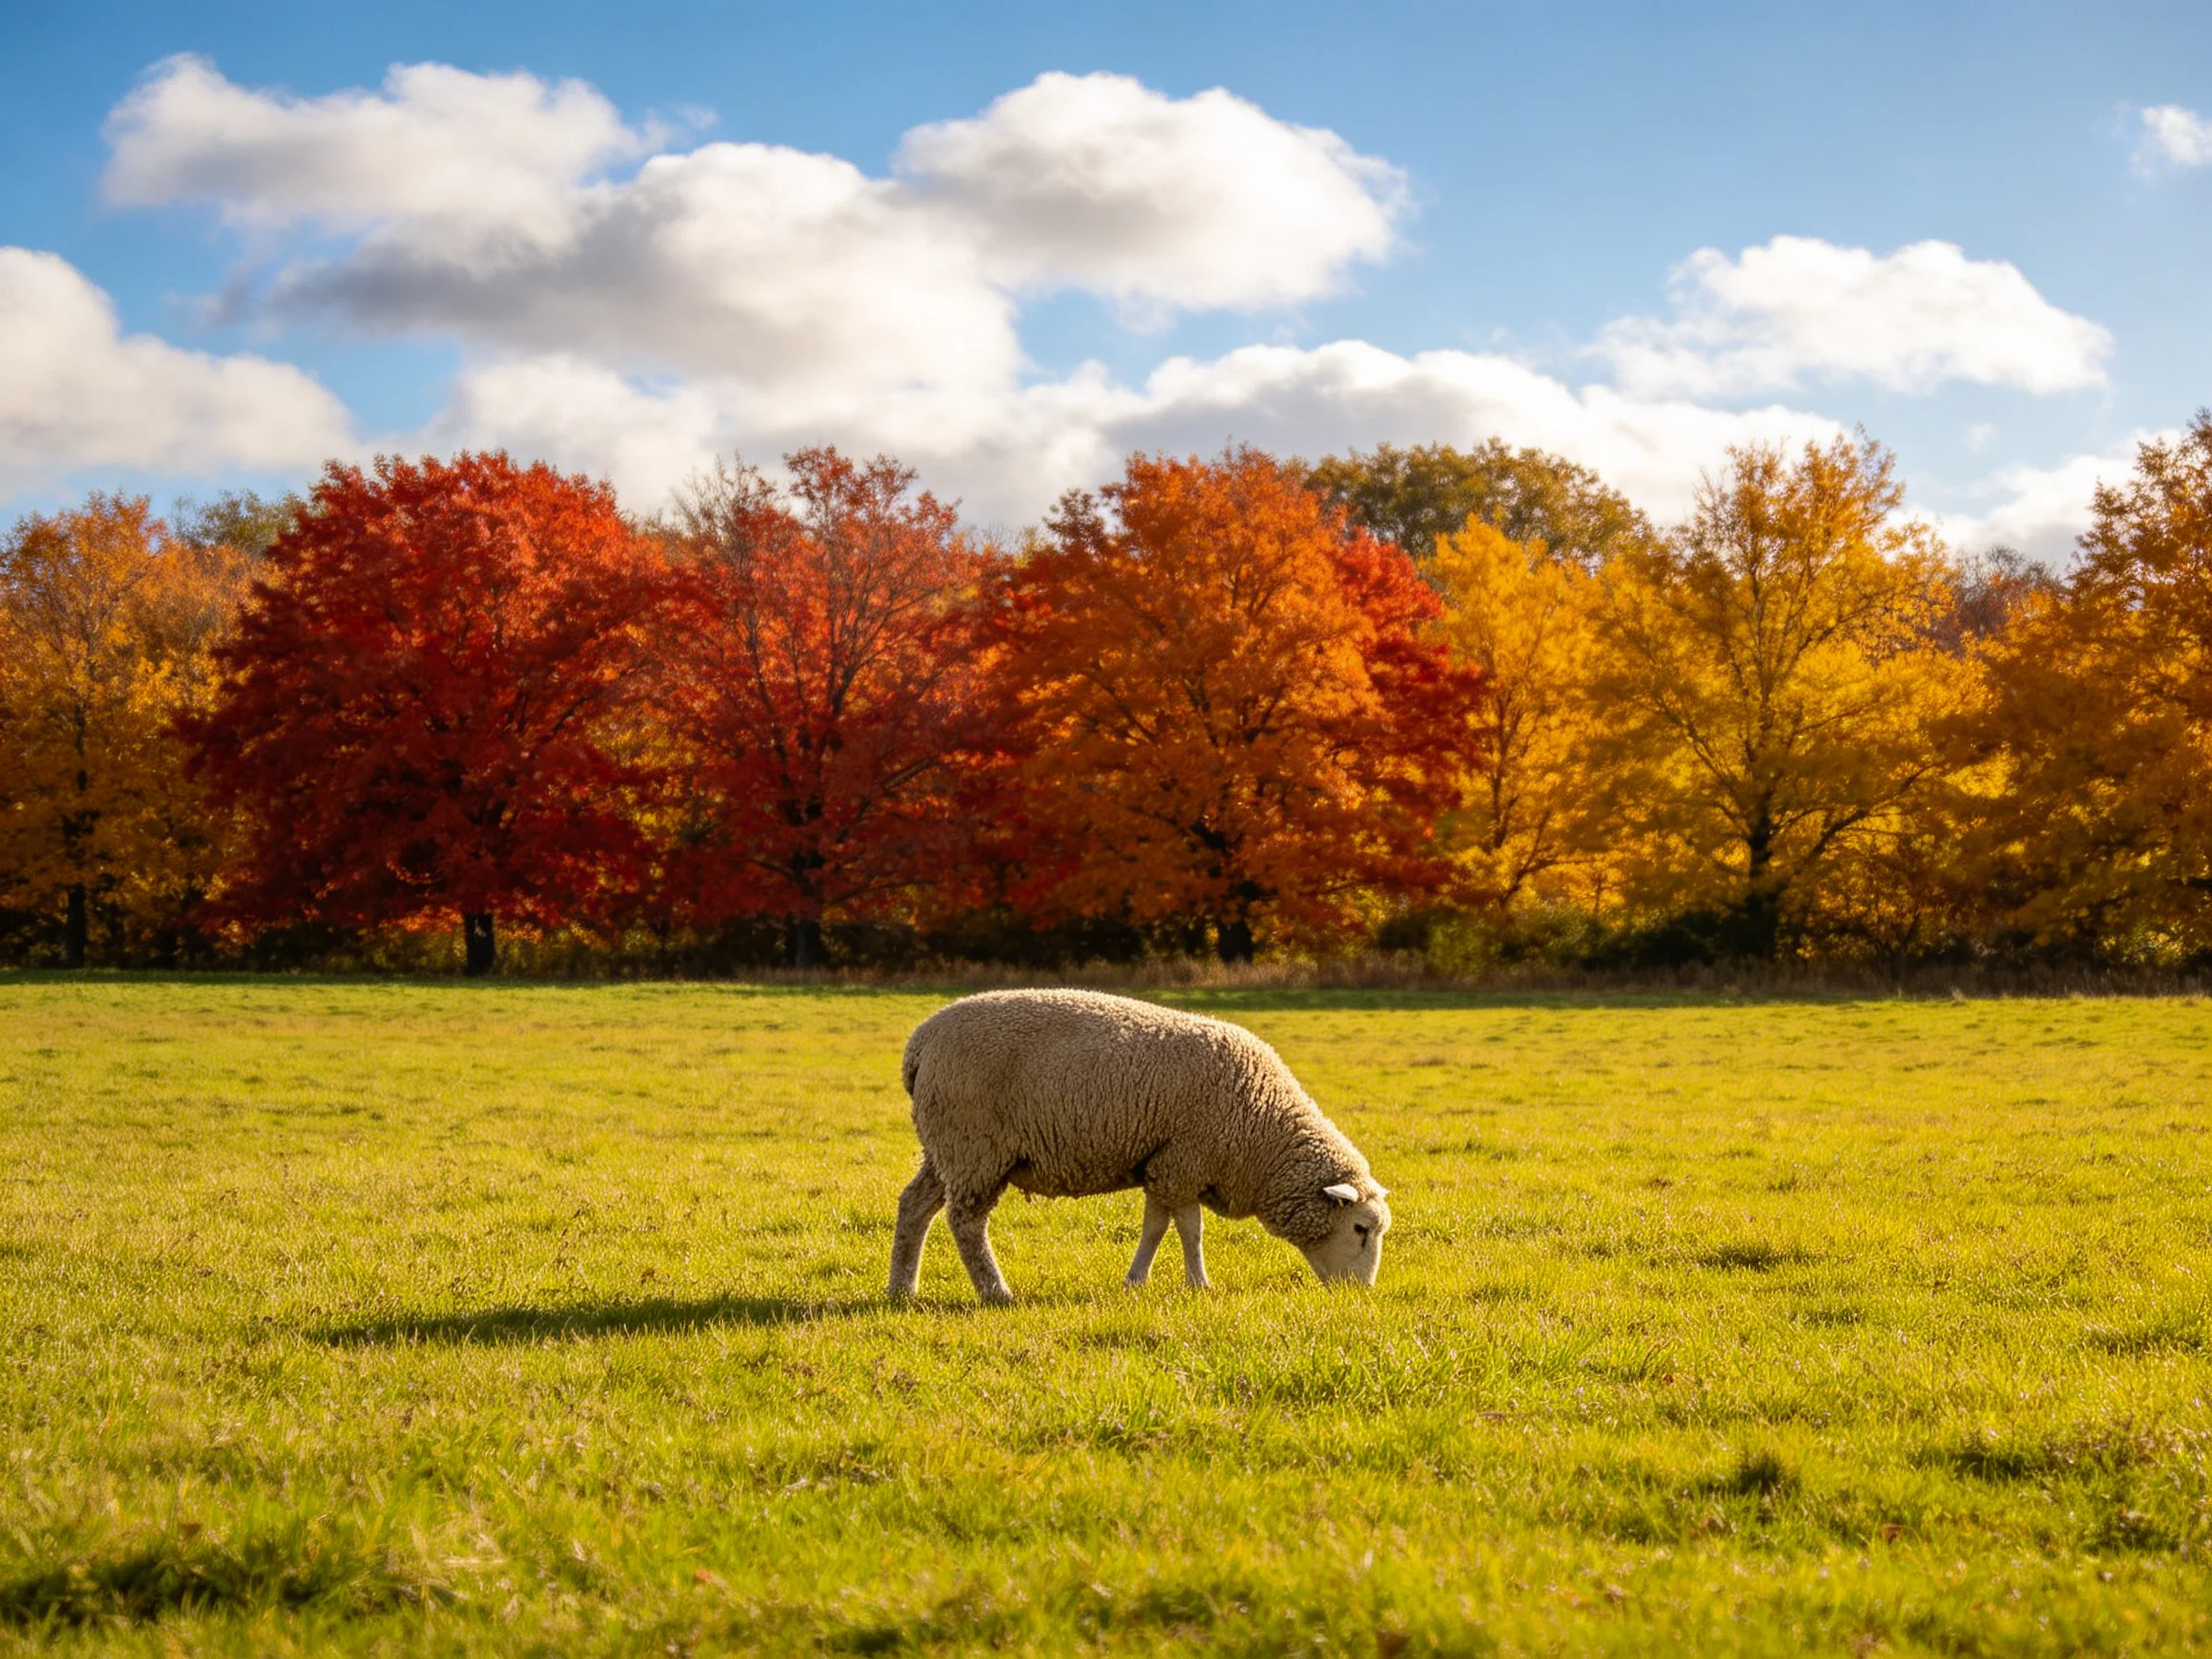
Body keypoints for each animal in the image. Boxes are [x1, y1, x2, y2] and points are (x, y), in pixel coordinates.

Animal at [888, 988, 1392, 1305]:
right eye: (1361, 1229)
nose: (1361, 1294)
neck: (1262, 1129)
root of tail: (920, 1045)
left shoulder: (1164, 1164)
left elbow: (1156, 1227)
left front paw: (1136, 1281)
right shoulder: (1184, 1160)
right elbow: (1189, 1229)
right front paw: (1199, 1284)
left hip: (945, 1148)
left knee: (914, 1206)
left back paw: (902, 1289)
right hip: (974, 1146)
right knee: (966, 1222)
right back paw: (995, 1291)